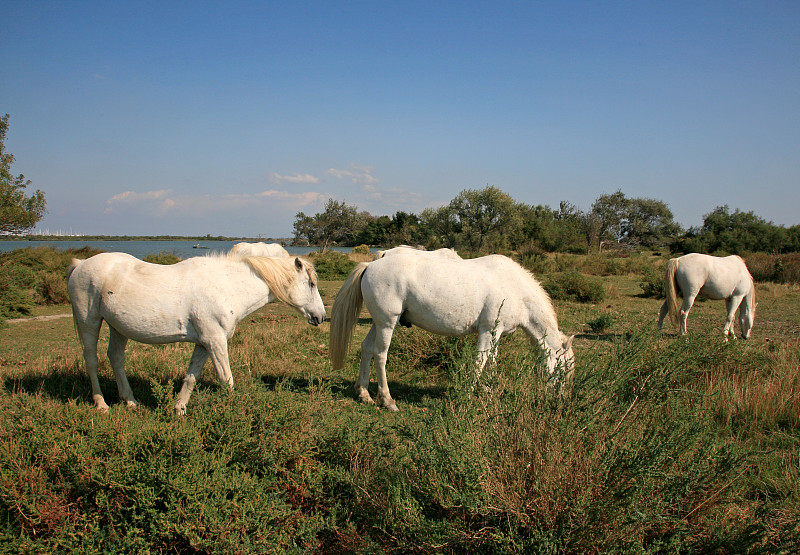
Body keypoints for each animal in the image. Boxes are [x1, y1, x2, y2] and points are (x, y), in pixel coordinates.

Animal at [68, 252, 324, 412]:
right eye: (311, 284)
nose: (320, 317)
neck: (228, 285)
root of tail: (80, 264)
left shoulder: (204, 343)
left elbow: (191, 376)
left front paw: (179, 408)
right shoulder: (215, 341)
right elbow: (226, 380)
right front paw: (236, 412)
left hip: (117, 327)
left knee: (116, 358)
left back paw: (130, 401)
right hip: (89, 321)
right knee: (92, 360)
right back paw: (101, 404)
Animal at [332, 250, 576, 410]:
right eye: (564, 369)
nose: (559, 401)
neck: (514, 287)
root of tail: (370, 265)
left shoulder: (496, 334)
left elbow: (491, 363)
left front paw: (489, 394)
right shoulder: (487, 331)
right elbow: (480, 362)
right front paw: (467, 396)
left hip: (378, 322)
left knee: (366, 349)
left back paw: (364, 394)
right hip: (387, 323)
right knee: (380, 354)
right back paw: (387, 400)